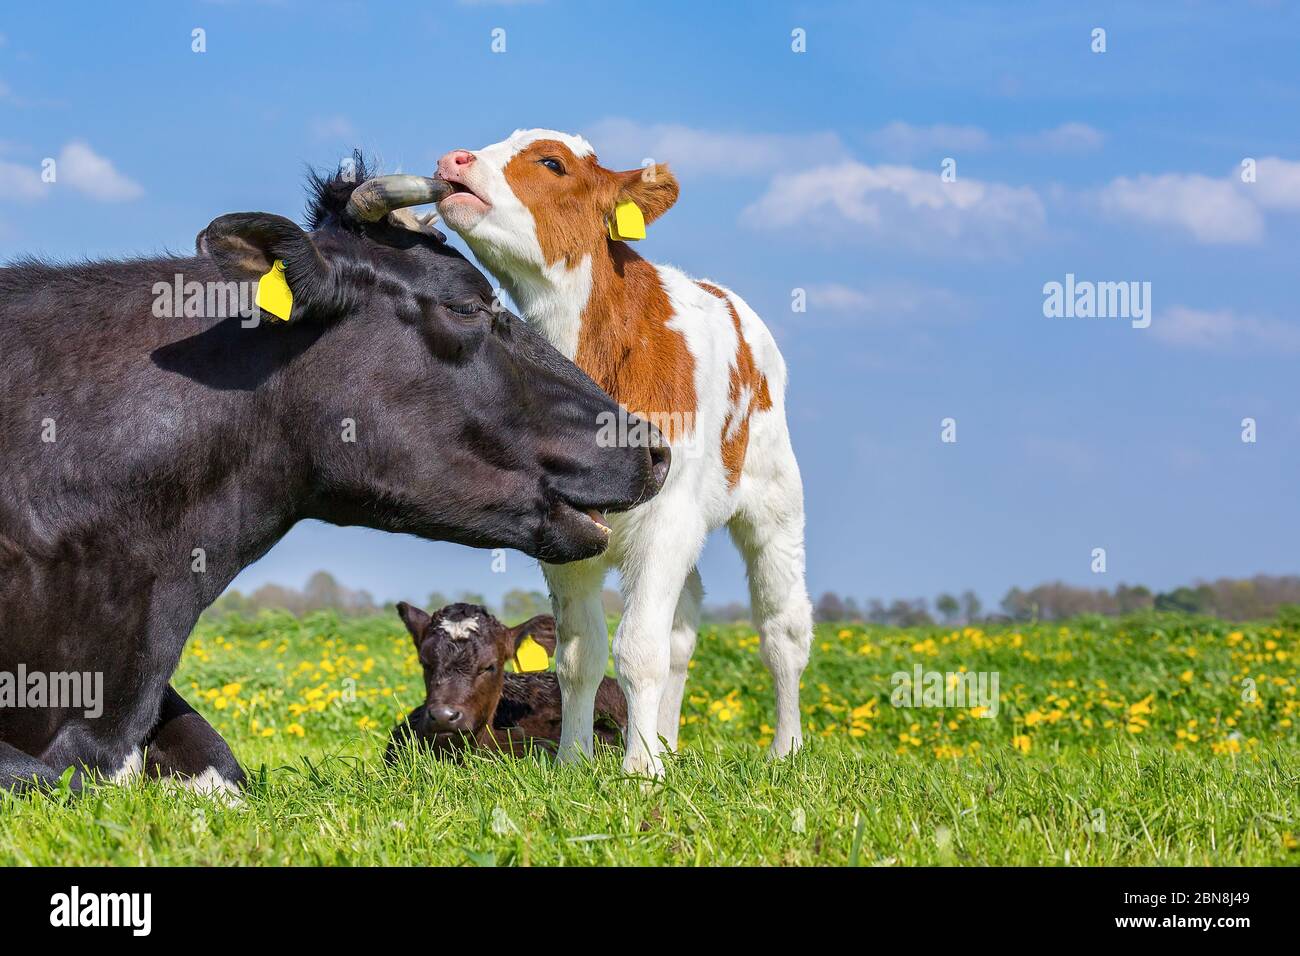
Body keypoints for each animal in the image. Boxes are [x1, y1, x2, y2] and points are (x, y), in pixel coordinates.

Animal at [431, 128, 806, 780]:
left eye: (552, 163)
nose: (456, 159)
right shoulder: (562, 532)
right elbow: (579, 654)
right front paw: (575, 761)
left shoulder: (667, 522)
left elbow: (638, 649)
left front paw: (639, 772)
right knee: (683, 626)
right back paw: (668, 743)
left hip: (774, 500)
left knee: (782, 628)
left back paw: (784, 751)